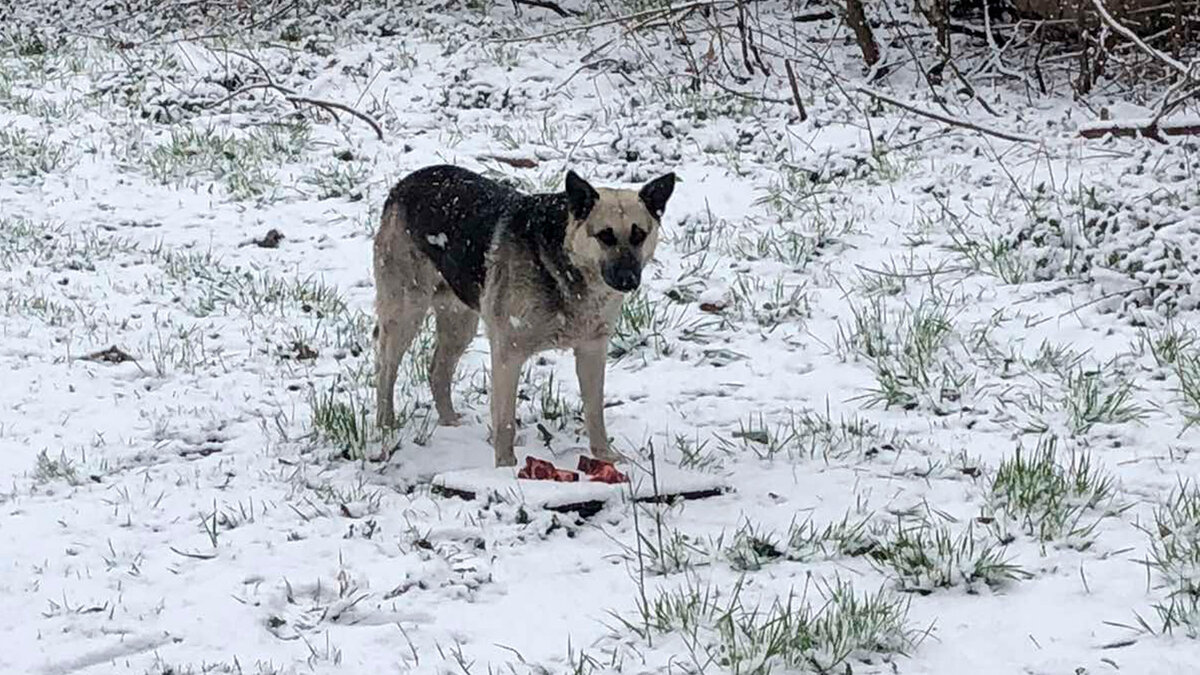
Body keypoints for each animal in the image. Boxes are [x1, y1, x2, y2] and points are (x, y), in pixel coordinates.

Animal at [374, 165, 676, 466]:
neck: (565, 261)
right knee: (386, 370)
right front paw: (506, 468)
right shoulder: (508, 353)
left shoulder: (592, 349)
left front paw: (606, 456)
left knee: (437, 369)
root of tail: (405, 182)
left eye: (639, 235)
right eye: (605, 236)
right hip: (406, 312)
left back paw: (450, 423)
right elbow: (505, 421)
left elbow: (594, 411)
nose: (628, 280)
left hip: (460, 321)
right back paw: (386, 427)